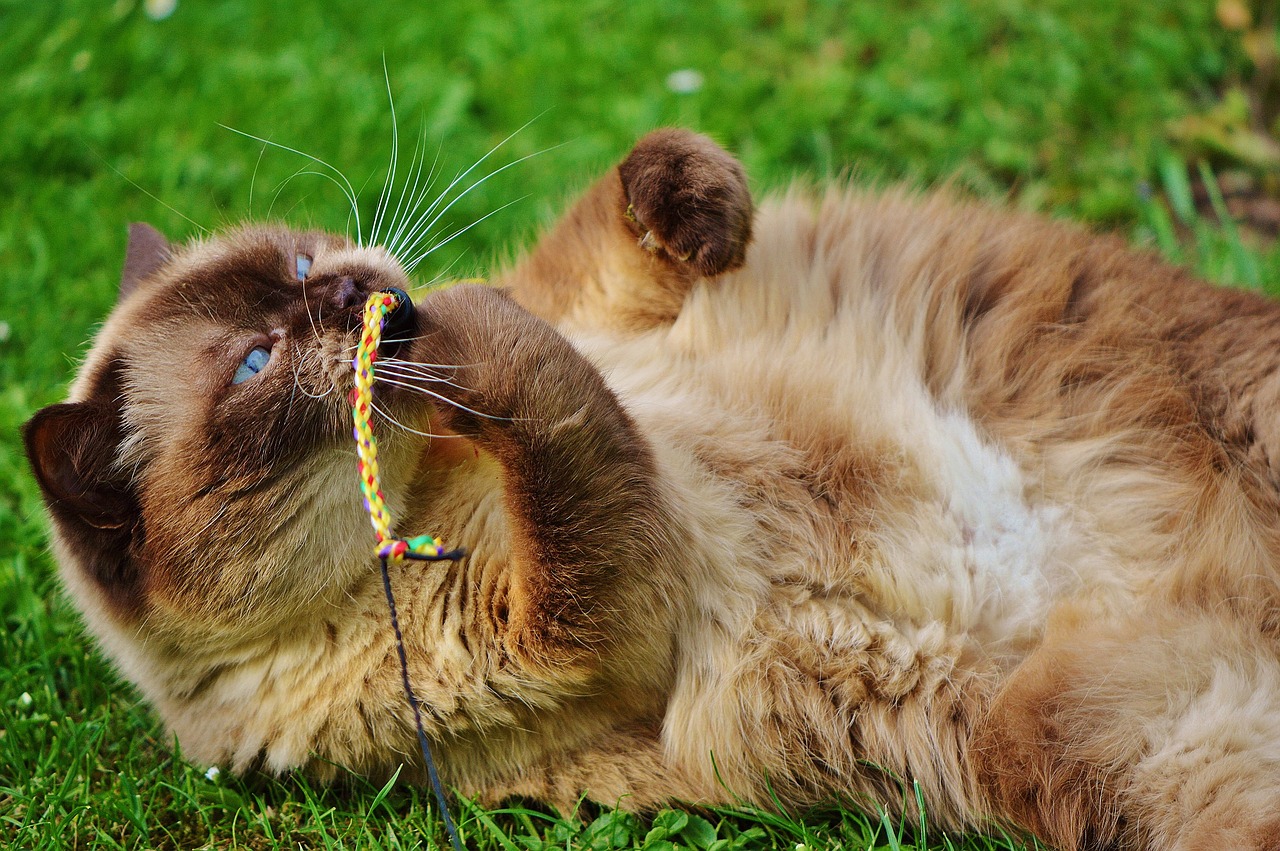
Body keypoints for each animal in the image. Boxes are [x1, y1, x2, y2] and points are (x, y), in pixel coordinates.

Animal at [22, 126, 1280, 849]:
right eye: (252, 365)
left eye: (292, 262)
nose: (351, 293)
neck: (437, 472)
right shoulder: (578, 623)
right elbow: (565, 419)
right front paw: (467, 336)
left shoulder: (591, 300)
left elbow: (631, 194)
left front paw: (701, 204)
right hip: (1153, 744)